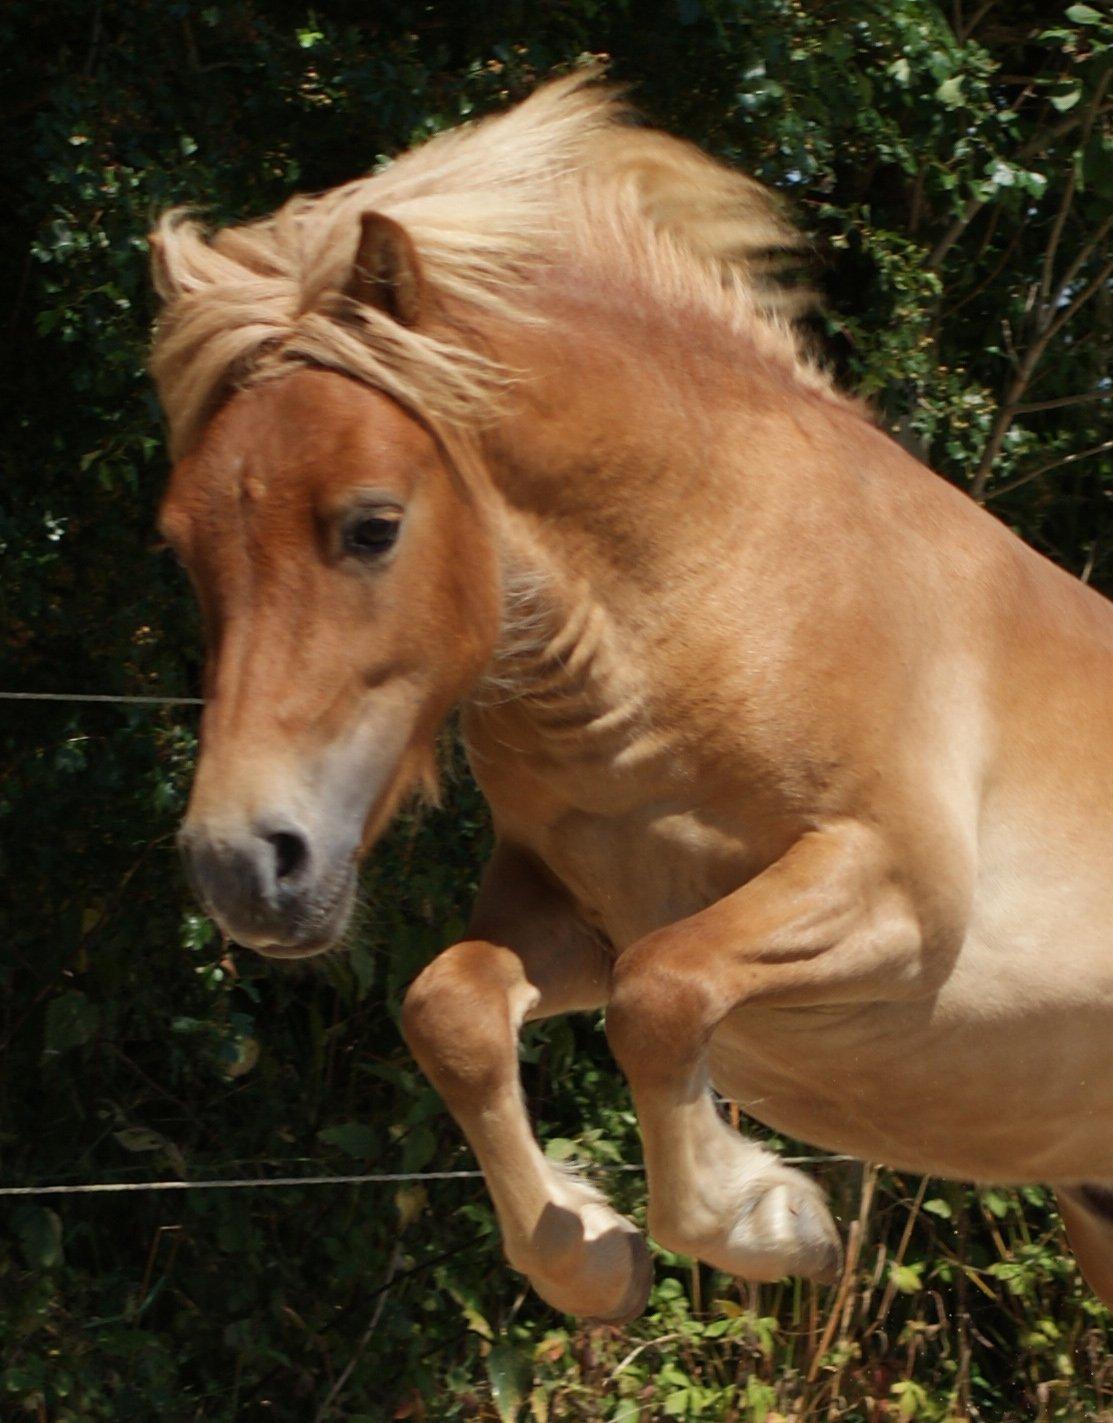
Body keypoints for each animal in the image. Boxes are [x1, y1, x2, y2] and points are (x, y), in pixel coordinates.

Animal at [148, 72, 1113, 1320]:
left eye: (371, 524)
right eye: (183, 544)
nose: (240, 868)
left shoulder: (895, 893)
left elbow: (659, 999)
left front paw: (768, 1219)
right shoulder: (575, 912)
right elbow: (451, 1006)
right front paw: (593, 1252)